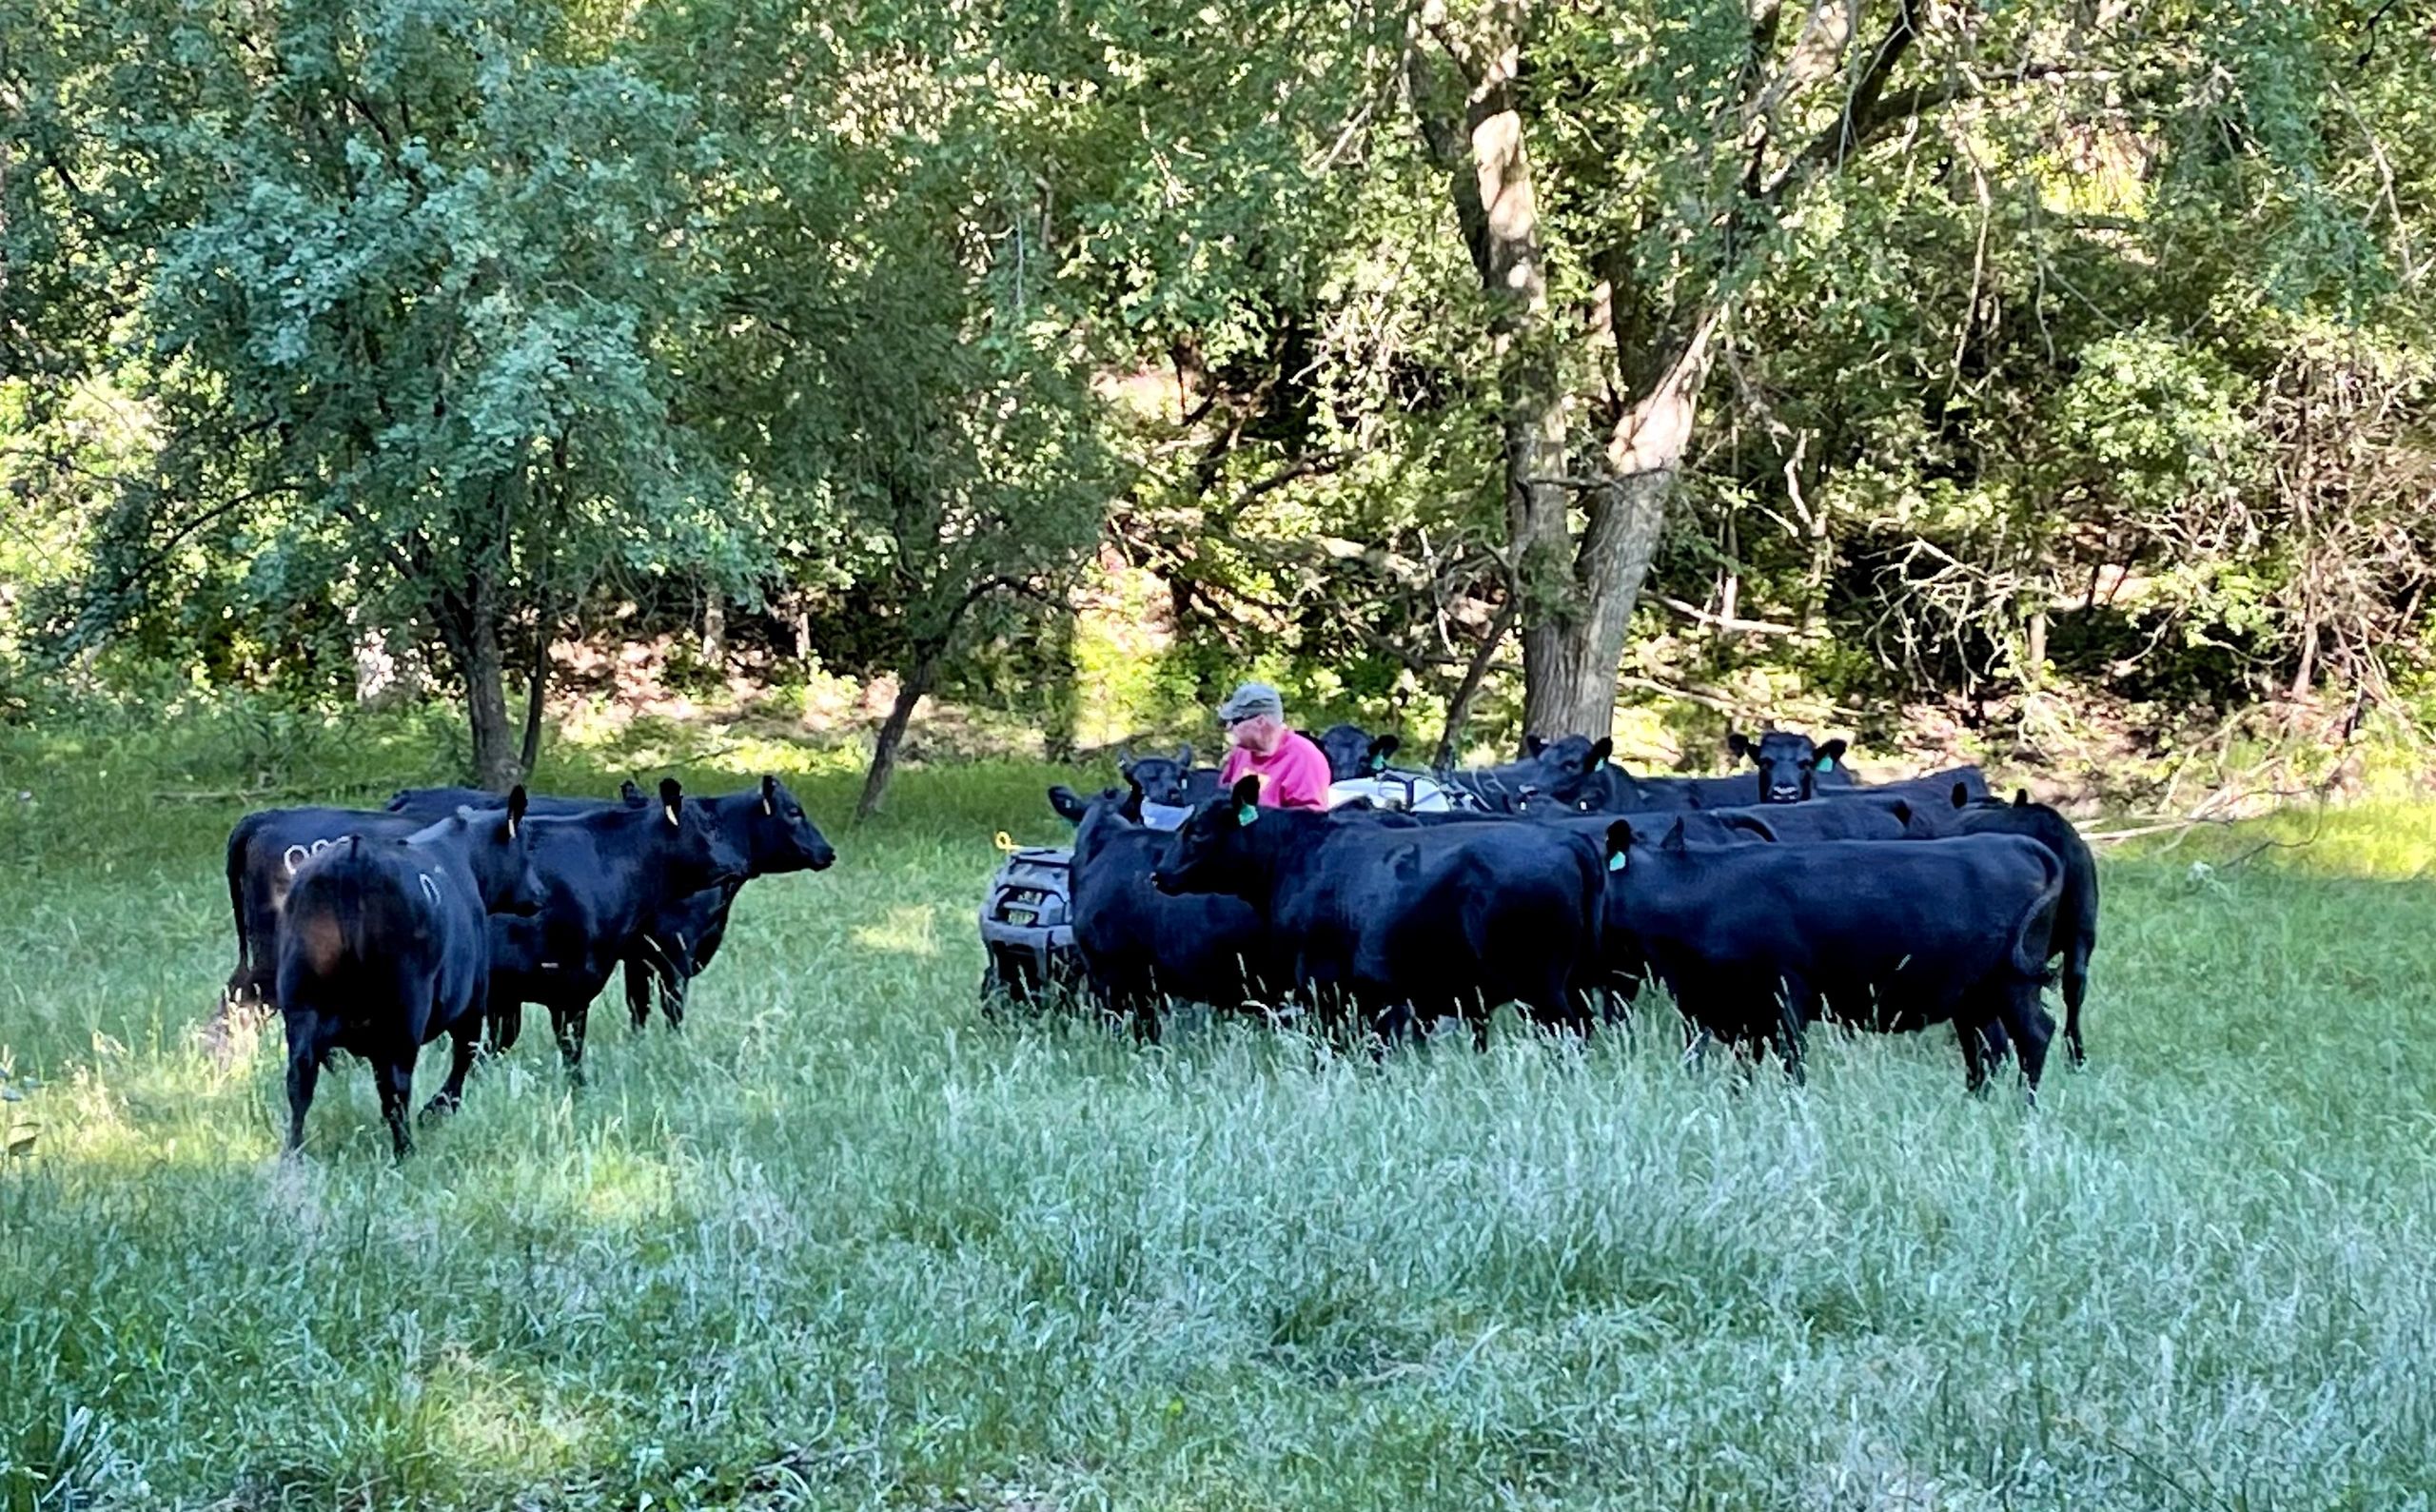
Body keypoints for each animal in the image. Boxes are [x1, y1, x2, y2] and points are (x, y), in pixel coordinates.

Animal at [276, 789, 542, 1153]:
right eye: (526, 845)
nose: (541, 891)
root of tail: (354, 856)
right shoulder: (473, 1001)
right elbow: (465, 1057)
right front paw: (436, 1110)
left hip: (301, 1003)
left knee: (300, 1078)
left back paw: (294, 1153)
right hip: (405, 1011)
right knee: (397, 1083)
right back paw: (406, 1150)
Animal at [1149, 774, 1607, 1042]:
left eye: (1198, 832)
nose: (1158, 874)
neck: (1297, 856)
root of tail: (1566, 839)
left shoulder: (1323, 983)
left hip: (1540, 984)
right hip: (1574, 980)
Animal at [1607, 817, 2065, 1090]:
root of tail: (2019, 843)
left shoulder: (1786, 992)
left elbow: (1792, 1059)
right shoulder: (1717, 1007)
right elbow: (1735, 1066)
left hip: (2012, 982)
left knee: (2034, 1035)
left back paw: (2025, 1109)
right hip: (1973, 993)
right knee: (1988, 1049)